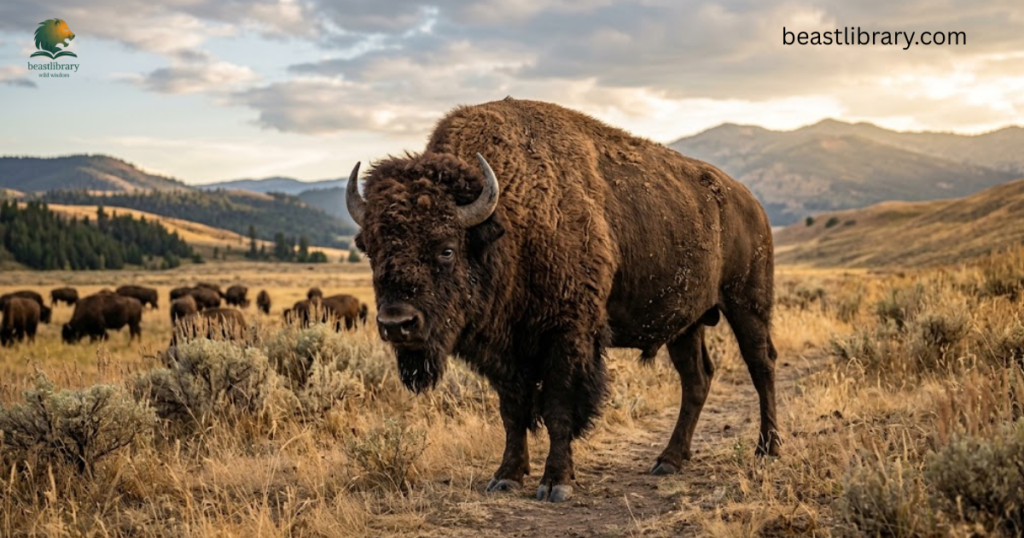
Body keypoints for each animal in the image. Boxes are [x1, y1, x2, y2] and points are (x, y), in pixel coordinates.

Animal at [346, 99, 779, 502]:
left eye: (446, 249)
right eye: (371, 250)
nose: (397, 324)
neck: (508, 223)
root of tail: (750, 203)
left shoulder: (567, 336)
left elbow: (558, 408)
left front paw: (556, 483)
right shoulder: (506, 351)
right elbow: (512, 411)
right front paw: (505, 476)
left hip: (747, 303)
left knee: (761, 365)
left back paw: (767, 449)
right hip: (686, 324)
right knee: (696, 379)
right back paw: (669, 460)